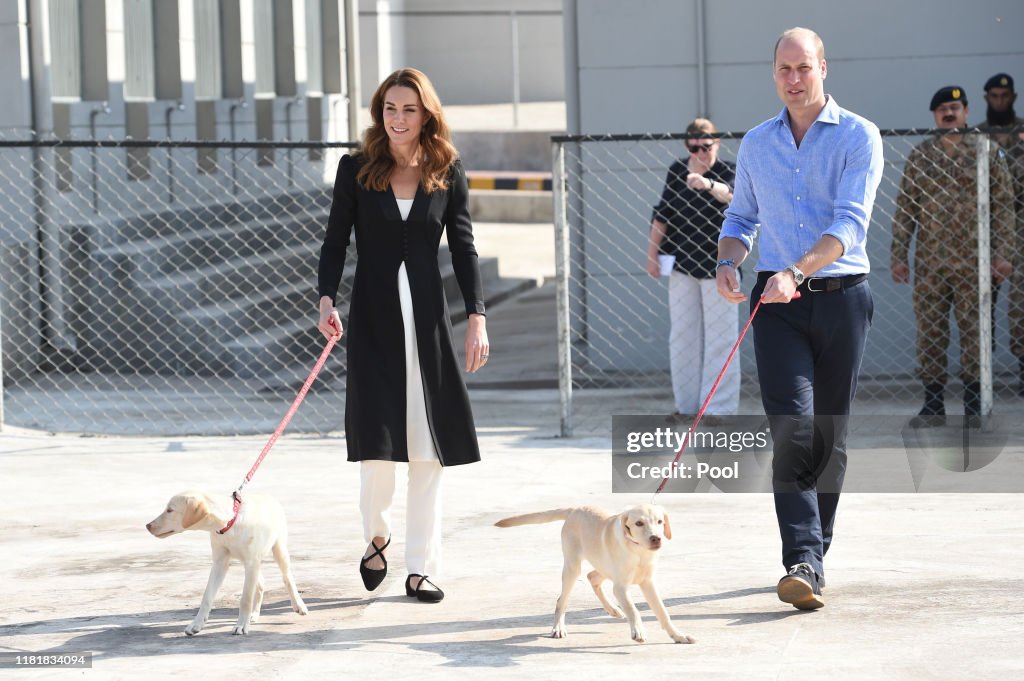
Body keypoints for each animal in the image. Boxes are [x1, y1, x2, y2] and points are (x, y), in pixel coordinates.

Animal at [144, 491, 305, 634]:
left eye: (170, 510)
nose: (147, 526)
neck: (229, 523)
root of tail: (267, 495)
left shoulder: (251, 561)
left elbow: (245, 599)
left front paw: (241, 625)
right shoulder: (220, 563)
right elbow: (207, 596)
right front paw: (196, 624)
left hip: (278, 550)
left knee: (287, 577)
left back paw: (299, 605)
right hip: (251, 562)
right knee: (261, 584)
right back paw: (254, 614)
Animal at [493, 503, 692, 643]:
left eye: (660, 521)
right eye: (639, 523)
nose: (656, 538)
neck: (639, 552)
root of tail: (575, 508)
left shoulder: (648, 583)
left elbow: (663, 612)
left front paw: (678, 635)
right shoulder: (621, 588)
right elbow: (633, 610)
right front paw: (638, 630)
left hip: (603, 565)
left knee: (592, 577)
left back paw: (613, 610)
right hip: (573, 567)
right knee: (562, 601)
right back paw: (558, 628)